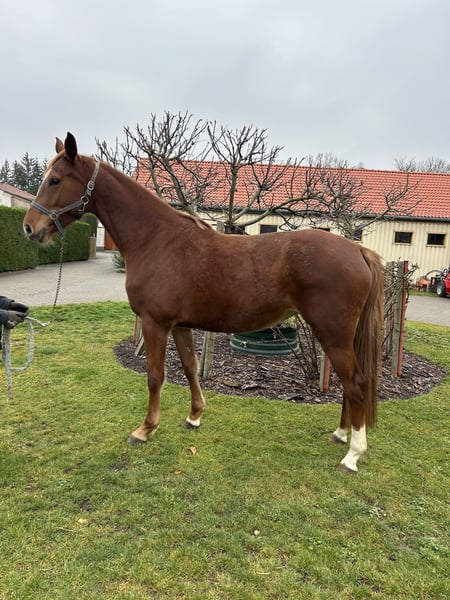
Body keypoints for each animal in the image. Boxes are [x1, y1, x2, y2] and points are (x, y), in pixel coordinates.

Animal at [23, 132, 384, 473]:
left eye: (55, 180)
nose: (29, 227)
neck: (157, 240)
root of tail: (357, 249)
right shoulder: (179, 325)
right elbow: (190, 368)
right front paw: (194, 416)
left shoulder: (155, 324)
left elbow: (155, 375)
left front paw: (145, 429)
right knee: (348, 383)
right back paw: (340, 434)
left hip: (332, 333)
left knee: (355, 383)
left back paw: (353, 454)